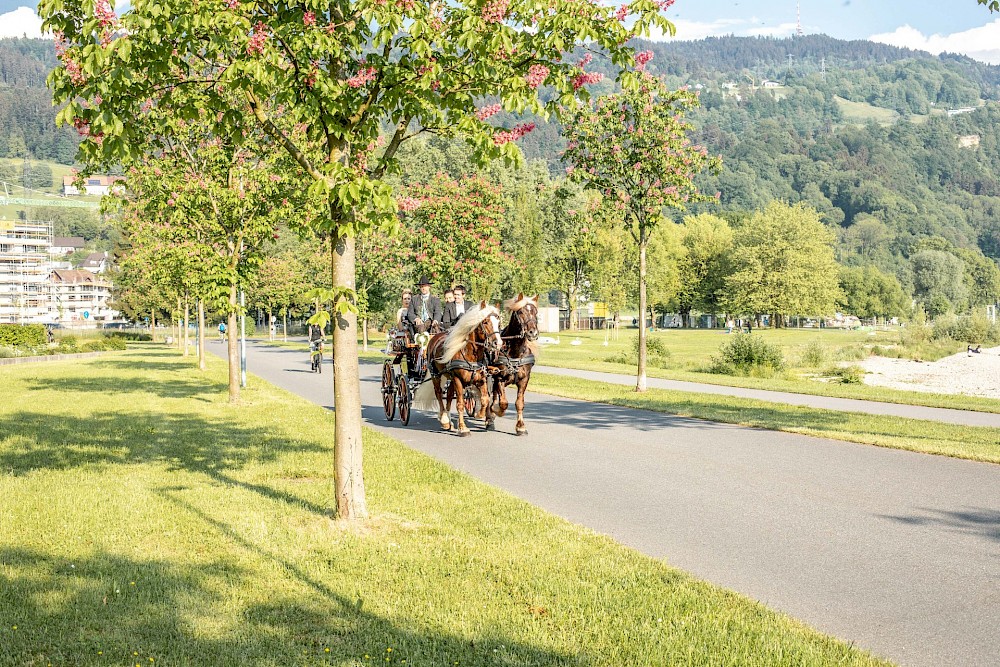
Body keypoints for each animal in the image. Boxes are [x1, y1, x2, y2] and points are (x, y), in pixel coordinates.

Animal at [486, 294, 540, 436]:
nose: (533, 333)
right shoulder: (499, 377)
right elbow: (503, 403)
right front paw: (496, 411)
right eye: (521, 312)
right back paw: (490, 417)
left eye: (536, 312)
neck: (515, 351)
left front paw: (521, 427)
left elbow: (519, 403)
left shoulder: (524, 379)